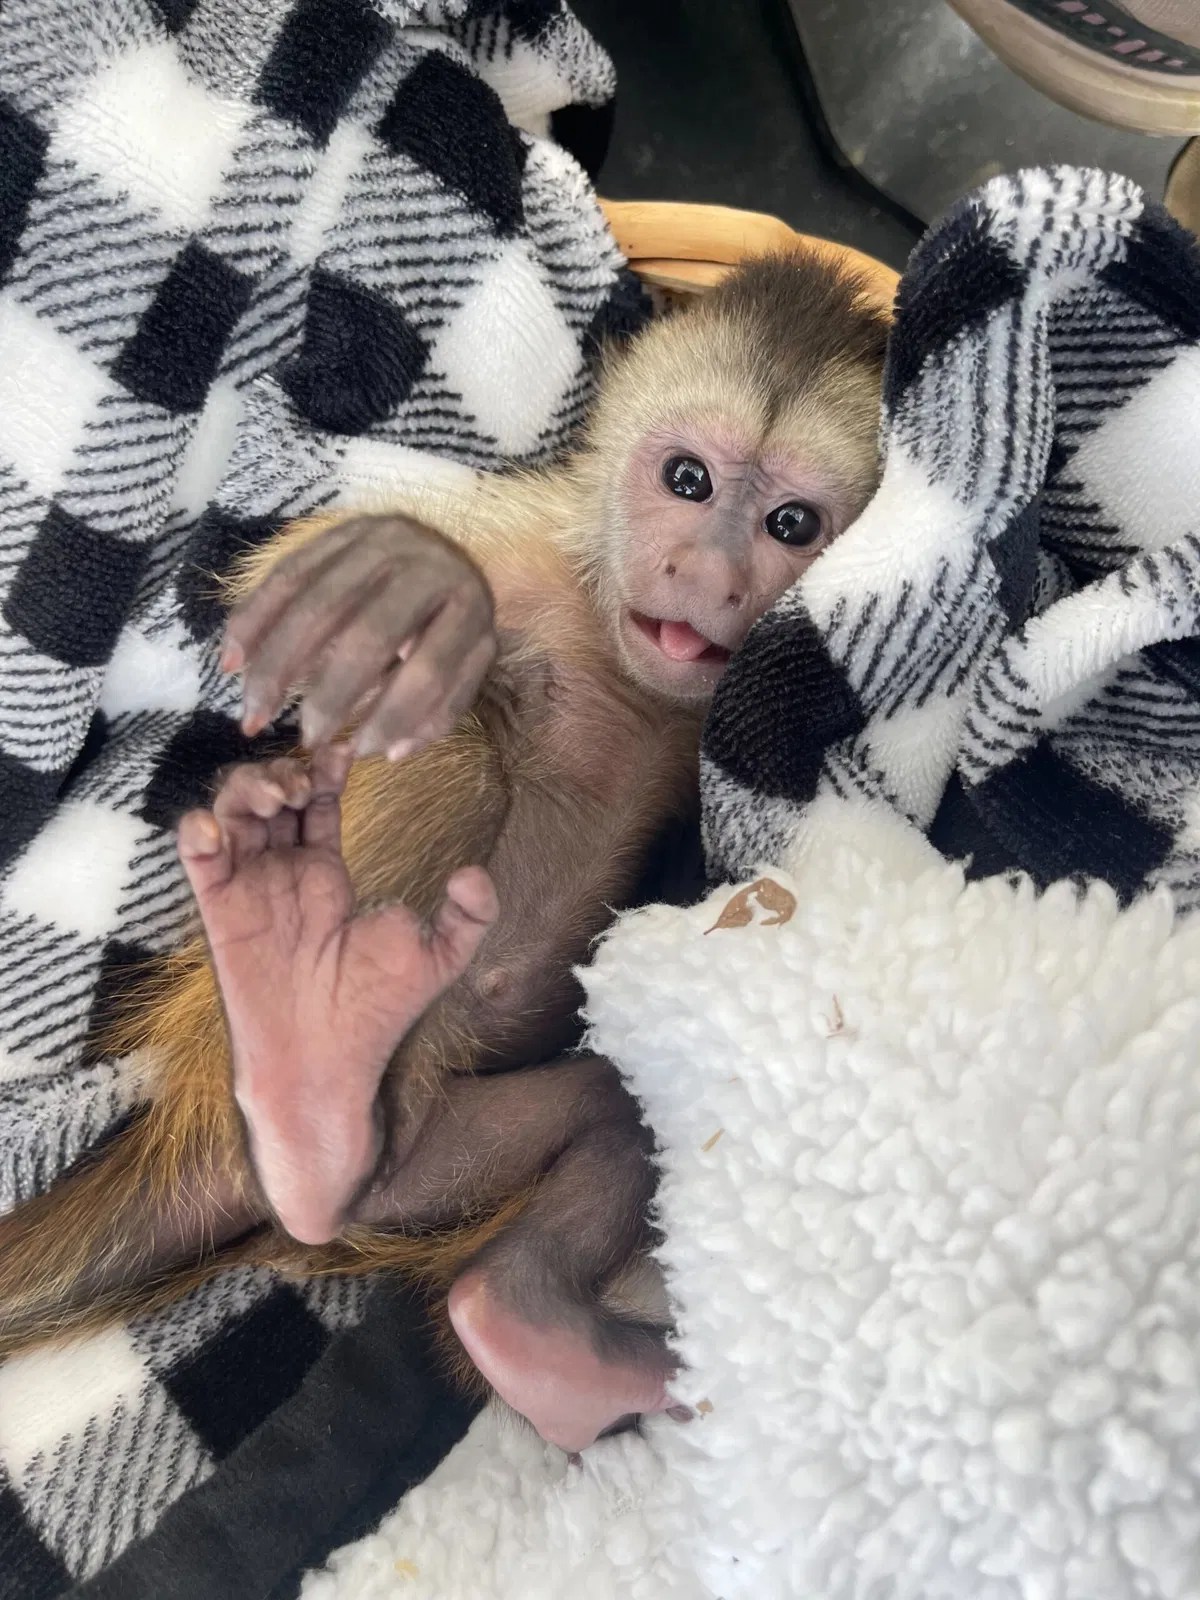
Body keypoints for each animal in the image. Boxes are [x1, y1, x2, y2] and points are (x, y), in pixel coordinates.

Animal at [0, 253, 891, 1454]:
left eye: (792, 521)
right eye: (689, 481)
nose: (707, 573)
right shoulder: (526, 543)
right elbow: (282, 582)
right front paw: (417, 581)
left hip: (431, 1156)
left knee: (607, 1112)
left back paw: (507, 1309)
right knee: (465, 758)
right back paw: (311, 1057)